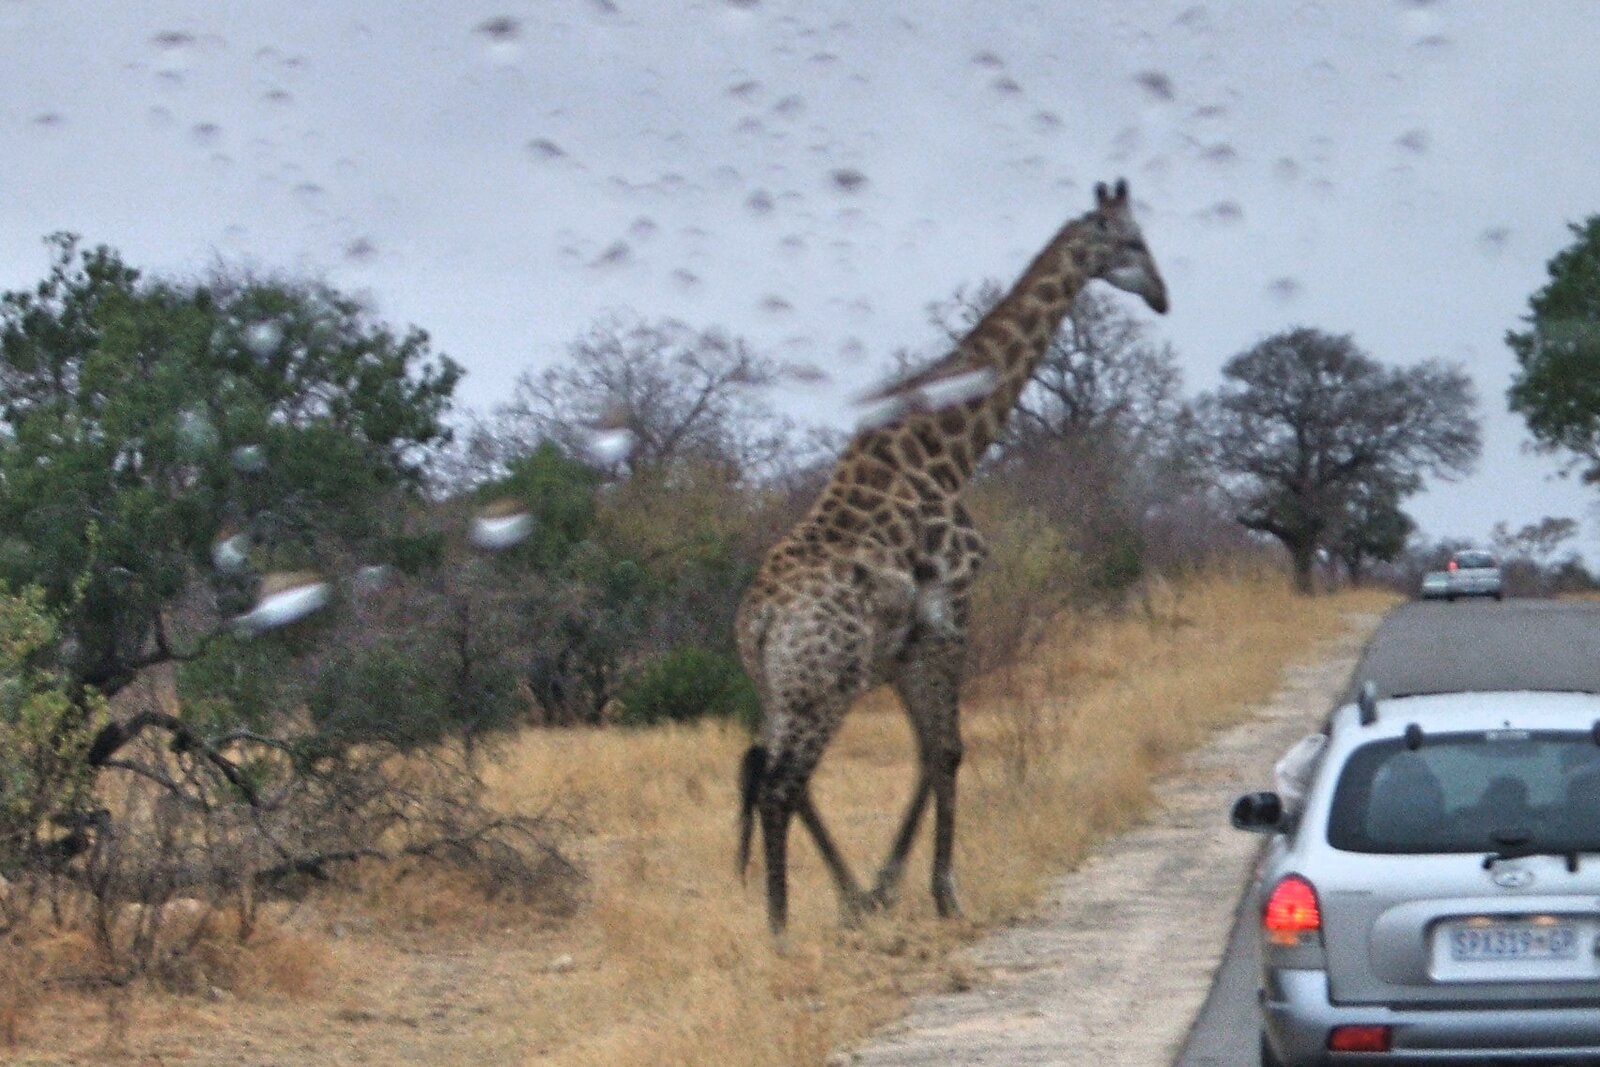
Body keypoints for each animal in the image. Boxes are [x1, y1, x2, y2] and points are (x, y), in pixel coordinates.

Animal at [735, 180, 1168, 936]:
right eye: (1133, 242)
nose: (1163, 297)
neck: (949, 452)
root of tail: (757, 621)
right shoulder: (950, 610)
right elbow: (950, 749)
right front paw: (943, 892)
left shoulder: (908, 640)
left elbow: (928, 751)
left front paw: (886, 886)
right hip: (827, 683)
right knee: (781, 785)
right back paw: (784, 930)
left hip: (788, 686)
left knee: (779, 776)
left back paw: (841, 901)